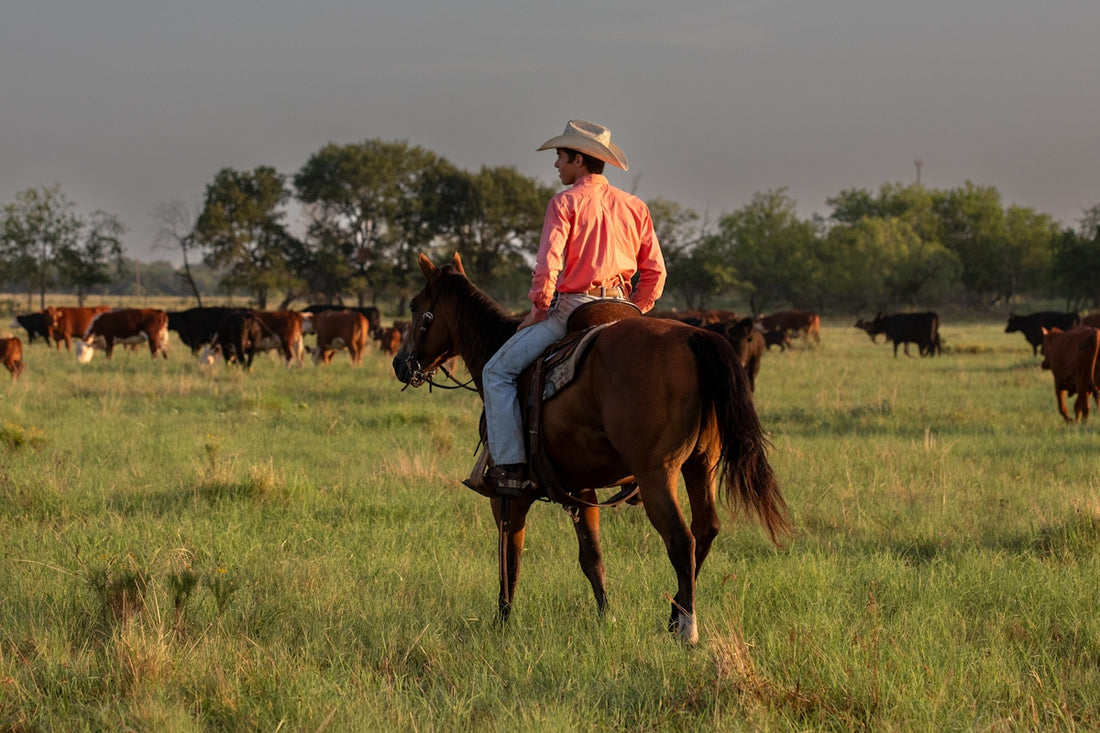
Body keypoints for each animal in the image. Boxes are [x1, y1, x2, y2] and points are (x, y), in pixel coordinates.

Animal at [393, 252, 791, 644]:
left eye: (415, 306)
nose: (399, 363)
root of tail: (693, 335)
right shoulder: (579, 490)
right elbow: (592, 559)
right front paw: (605, 618)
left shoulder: (507, 496)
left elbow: (510, 558)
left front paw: (502, 624)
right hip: (700, 466)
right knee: (705, 531)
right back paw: (673, 616)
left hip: (657, 475)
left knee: (682, 540)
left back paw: (686, 629)